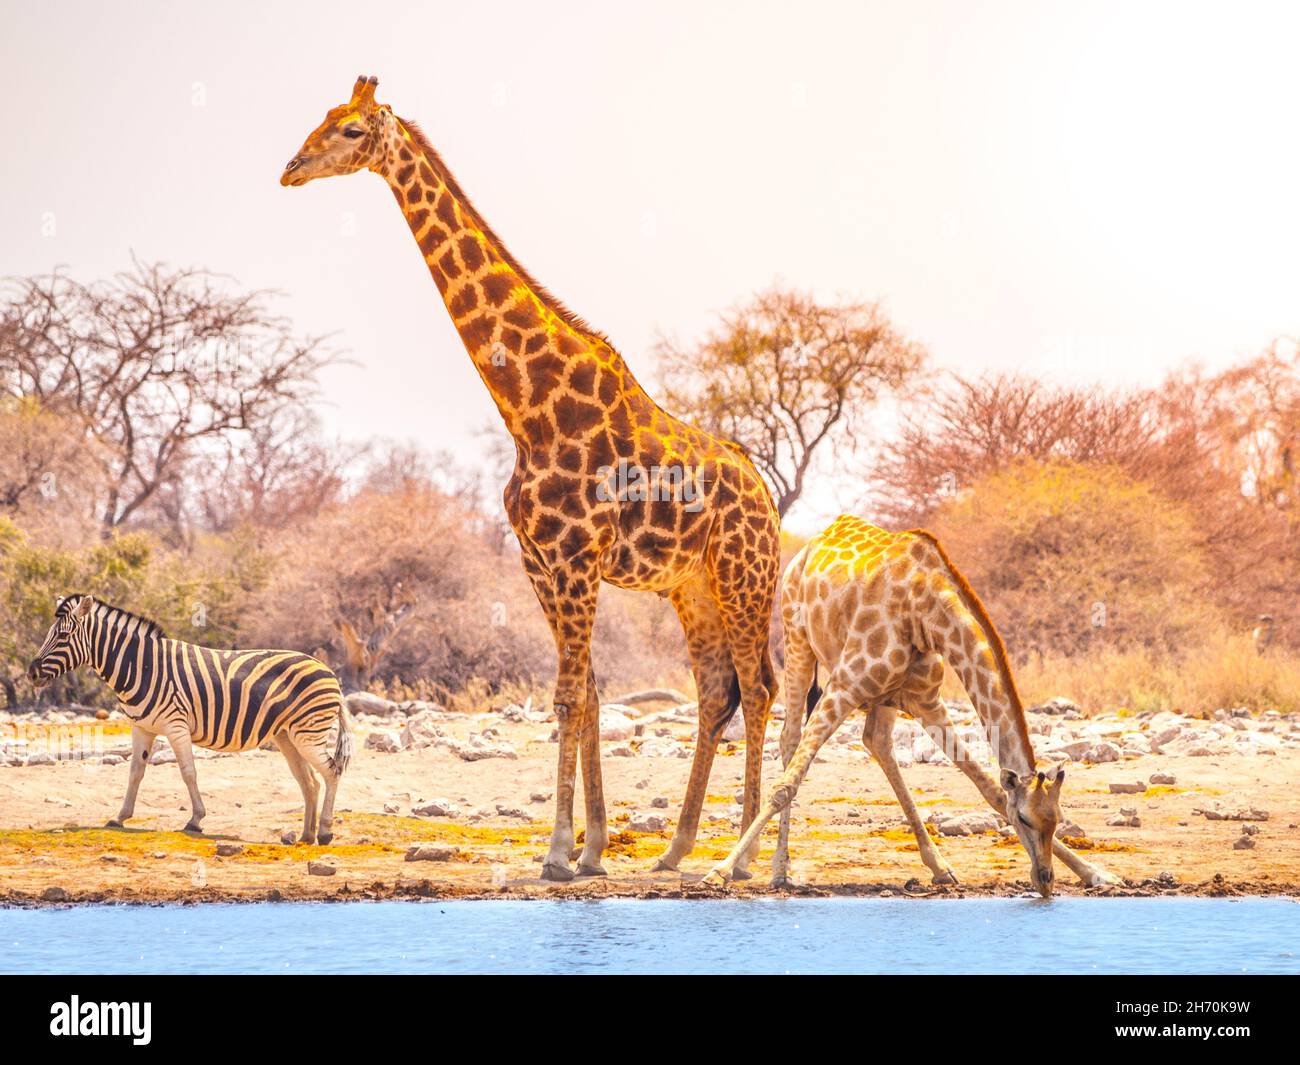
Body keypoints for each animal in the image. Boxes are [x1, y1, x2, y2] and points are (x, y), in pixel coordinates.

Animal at [29, 595, 356, 847]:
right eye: (49, 634)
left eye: (62, 637)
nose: (31, 673)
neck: (141, 666)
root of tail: (330, 672)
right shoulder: (141, 726)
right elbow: (135, 772)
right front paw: (119, 817)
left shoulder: (175, 724)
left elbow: (188, 772)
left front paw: (195, 820)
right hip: (288, 736)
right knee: (309, 781)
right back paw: (305, 836)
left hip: (307, 732)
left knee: (332, 771)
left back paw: (325, 832)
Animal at [279, 77, 774, 884]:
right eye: (321, 117)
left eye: (350, 130)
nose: (290, 169)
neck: (528, 405)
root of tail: (767, 495)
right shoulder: (539, 564)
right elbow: (589, 694)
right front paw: (594, 848)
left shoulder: (574, 561)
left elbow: (569, 696)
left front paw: (557, 852)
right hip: (691, 586)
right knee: (713, 694)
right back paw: (675, 848)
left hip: (743, 575)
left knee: (758, 689)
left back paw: (743, 854)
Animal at [702, 514, 1118, 889]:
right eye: (1026, 820)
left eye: (1057, 819)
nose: (1045, 881)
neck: (926, 613)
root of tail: (807, 547)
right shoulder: (844, 686)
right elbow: (786, 785)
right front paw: (719, 870)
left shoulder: (927, 702)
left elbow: (990, 788)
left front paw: (1096, 873)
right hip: (798, 642)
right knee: (790, 740)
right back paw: (778, 870)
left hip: (883, 696)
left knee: (877, 742)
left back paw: (939, 866)